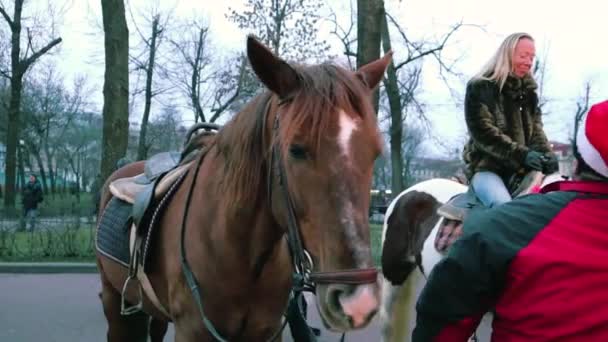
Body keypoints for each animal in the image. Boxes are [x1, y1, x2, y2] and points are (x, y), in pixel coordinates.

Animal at [94, 35, 390, 342]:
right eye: (296, 149)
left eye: (375, 154)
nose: (358, 301)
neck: (242, 257)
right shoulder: (191, 329)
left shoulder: (267, 331)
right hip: (114, 300)